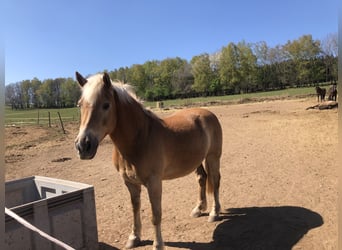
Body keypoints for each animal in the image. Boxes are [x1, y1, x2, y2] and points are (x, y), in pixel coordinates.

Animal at [74, 71, 223, 249]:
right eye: (79, 105)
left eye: (106, 105)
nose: (83, 145)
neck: (140, 138)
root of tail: (208, 113)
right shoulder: (130, 183)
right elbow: (135, 209)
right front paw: (134, 237)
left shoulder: (154, 183)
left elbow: (155, 215)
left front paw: (158, 244)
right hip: (197, 160)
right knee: (202, 178)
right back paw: (198, 209)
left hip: (212, 157)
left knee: (215, 181)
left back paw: (214, 213)